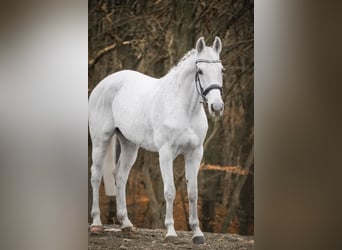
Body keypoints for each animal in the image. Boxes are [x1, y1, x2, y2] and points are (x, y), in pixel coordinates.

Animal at [89, 36, 224, 243]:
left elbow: (193, 193)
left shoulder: (195, 153)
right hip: (100, 140)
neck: (183, 108)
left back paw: (126, 224)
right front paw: (171, 232)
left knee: (120, 176)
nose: (217, 107)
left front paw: (198, 234)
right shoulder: (166, 153)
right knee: (96, 176)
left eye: (221, 70)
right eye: (200, 71)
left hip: (130, 145)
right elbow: (169, 191)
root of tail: (103, 83)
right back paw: (96, 224)